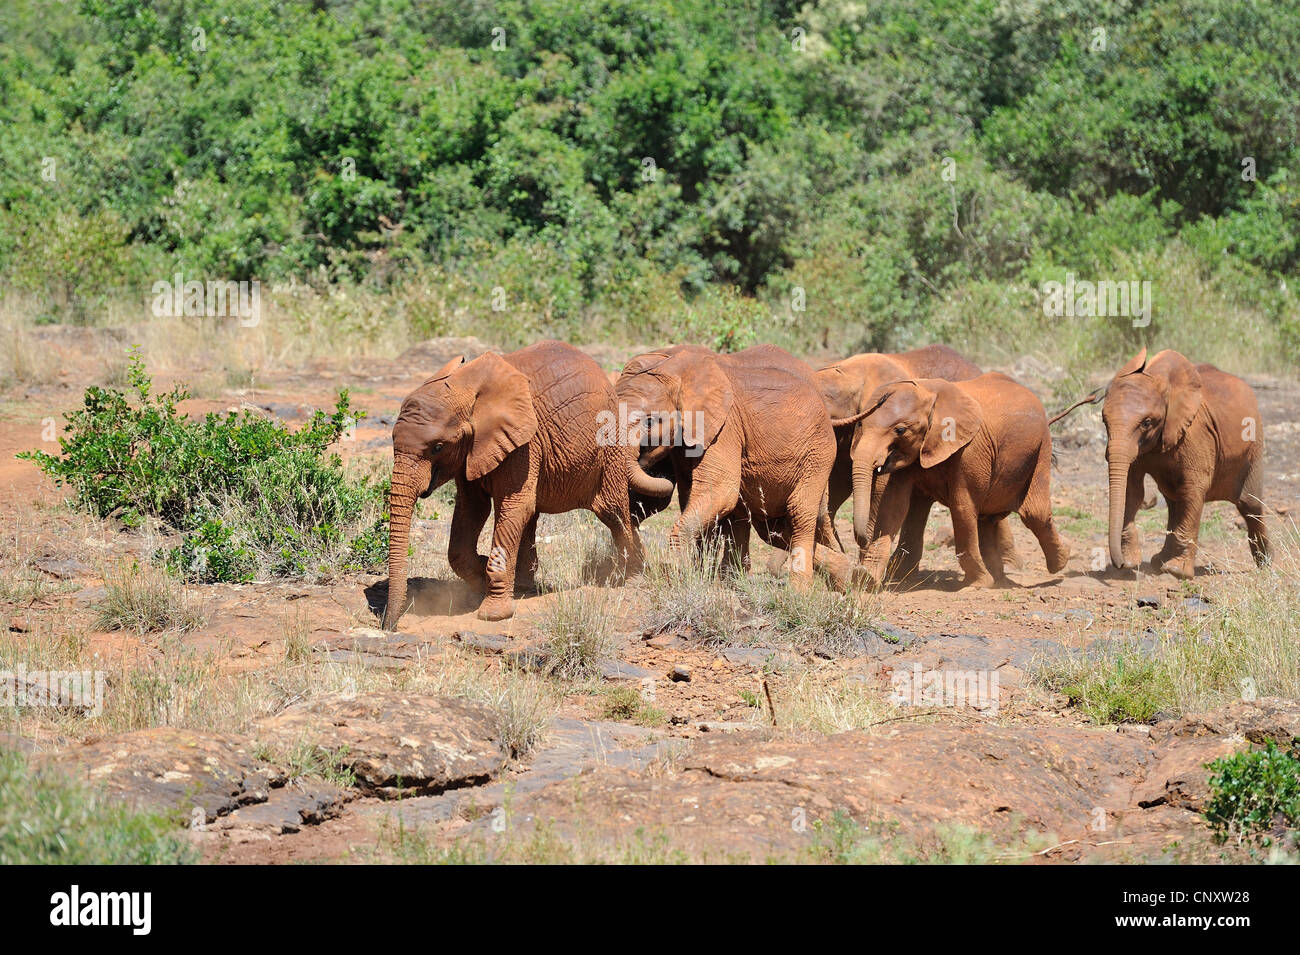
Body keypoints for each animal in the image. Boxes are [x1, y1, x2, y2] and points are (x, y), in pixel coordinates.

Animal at [379, 337, 670, 628]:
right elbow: (472, 511)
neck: (466, 385)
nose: (390, 626)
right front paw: (481, 578)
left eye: (437, 447)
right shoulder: (473, 451)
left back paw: (632, 580)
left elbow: (513, 507)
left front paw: (493, 614)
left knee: (613, 512)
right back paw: (524, 588)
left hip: (608, 448)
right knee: (533, 517)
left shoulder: (524, 444)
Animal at [613, 343, 847, 582]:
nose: (655, 471)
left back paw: (803, 586)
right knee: (772, 526)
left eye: (650, 422)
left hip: (819, 452)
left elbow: (720, 491)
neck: (672, 368)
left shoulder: (725, 427)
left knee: (800, 512)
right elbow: (693, 495)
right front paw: (696, 574)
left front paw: (681, 574)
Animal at [837, 374, 1071, 587]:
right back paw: (999, 577)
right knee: (986, 518)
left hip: (1041, 447)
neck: (929, 392)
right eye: (860, 425)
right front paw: (865, 578)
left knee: (1034, 513)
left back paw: (1061, 559)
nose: (861, 539)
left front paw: (980, 583)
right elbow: (892, 506)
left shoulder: (970, 448)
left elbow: (962, 506)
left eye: (900, 430)